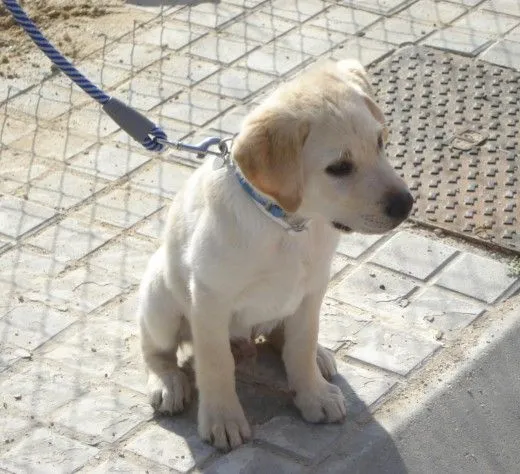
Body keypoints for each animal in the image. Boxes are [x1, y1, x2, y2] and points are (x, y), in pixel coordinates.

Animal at [136, 60, 412, 452]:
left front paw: (313, 394)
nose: (406, 205)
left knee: (287, 338)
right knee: (155, 348)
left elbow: (300, 345)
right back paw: (168, 382)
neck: (287, 227)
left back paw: (319, 356)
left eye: (380, 143)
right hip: (160, 295)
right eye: (339, 168)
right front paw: (223, 418)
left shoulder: (312, 289)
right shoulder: (209, 299)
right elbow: (216, 364)